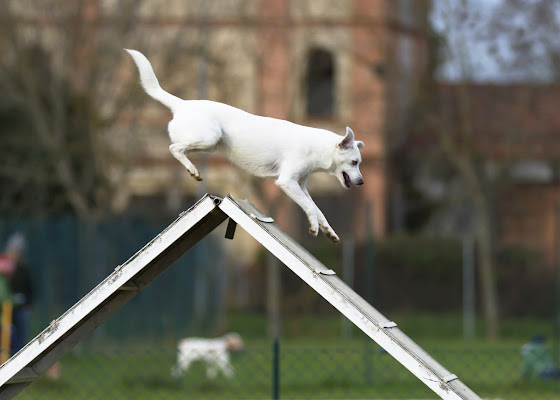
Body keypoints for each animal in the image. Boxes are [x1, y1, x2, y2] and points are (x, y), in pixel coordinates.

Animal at [126, 48, 368, 242]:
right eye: (354, 162)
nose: (362, 181)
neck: (316, 147)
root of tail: (182, 104)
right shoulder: (287, 182)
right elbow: (310, 207)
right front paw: (314, 229)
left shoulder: (301, 185)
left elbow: (317, 210)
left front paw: (328, 231)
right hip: (209, 137)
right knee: (174, 148)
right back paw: (193, 170)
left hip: (209, 144)